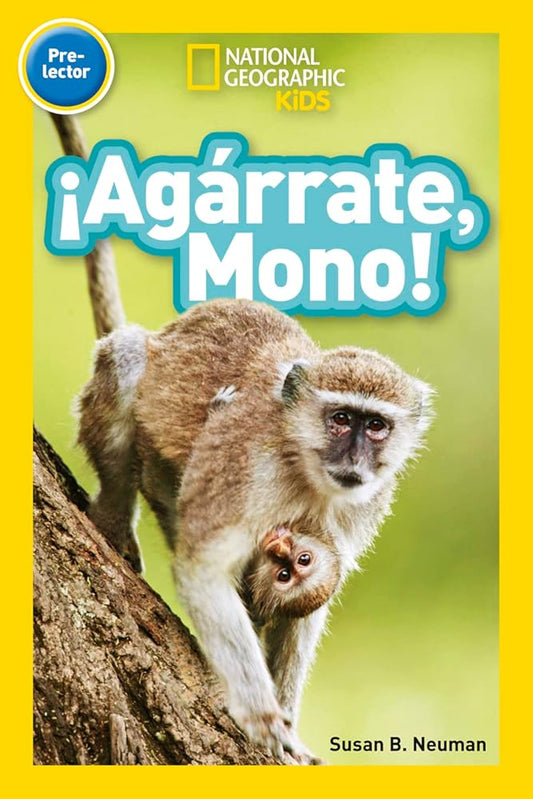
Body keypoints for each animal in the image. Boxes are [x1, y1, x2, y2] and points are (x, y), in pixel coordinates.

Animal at [77, 298, 433, 763]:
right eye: (340, 418)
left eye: (376, 426)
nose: (355, 460)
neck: (306, 471)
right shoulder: (244, 464)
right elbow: (204, 568)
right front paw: (260, 710)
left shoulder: (366, 503)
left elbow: (308, 608)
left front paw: (288, 723)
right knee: (125, 356)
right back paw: (115, 515)